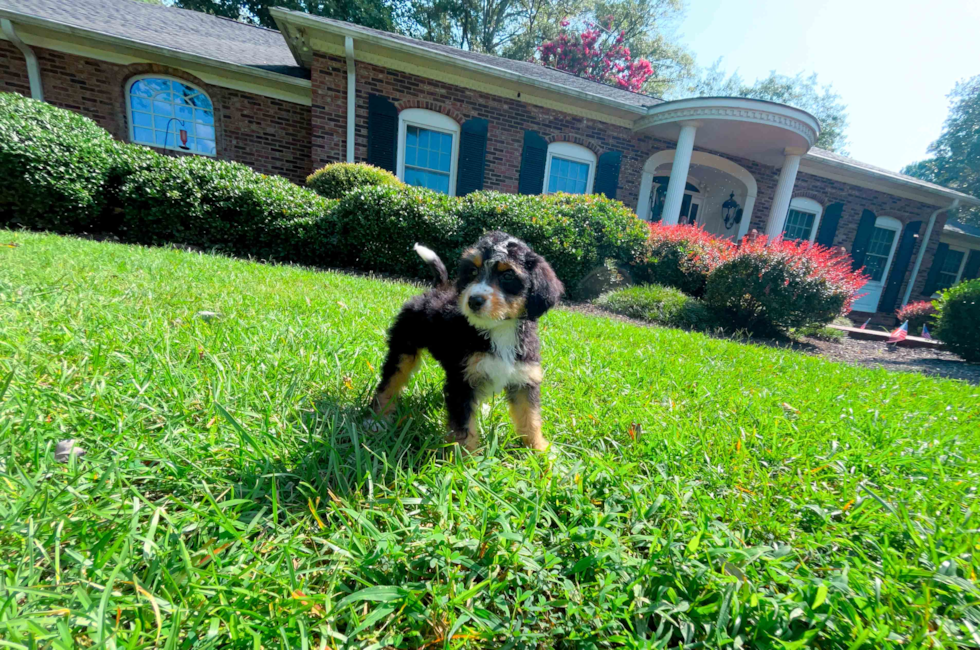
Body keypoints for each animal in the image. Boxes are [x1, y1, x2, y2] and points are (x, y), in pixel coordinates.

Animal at [372, 232, 564, 450]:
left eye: (507, 275)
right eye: (473, 271)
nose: (474, 300)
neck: (499, 330)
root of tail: (437, 289)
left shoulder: (524, 378)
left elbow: (530, 418)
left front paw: (540, 450)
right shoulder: (463, 382)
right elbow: (463, 427)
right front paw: (466, 457)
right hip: (403, 348)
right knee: (390, 381)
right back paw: (378, 420)